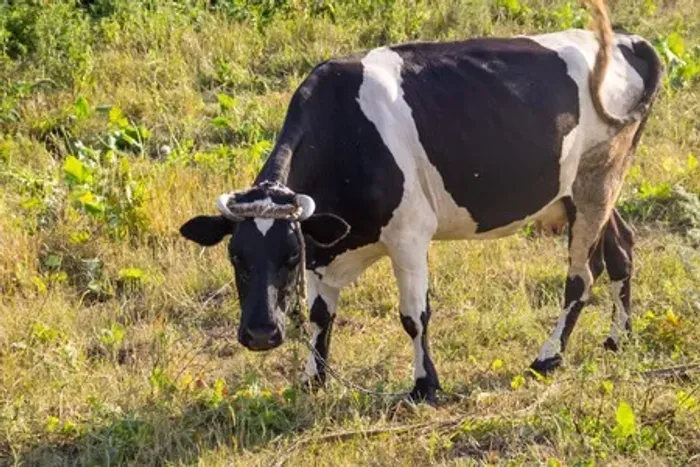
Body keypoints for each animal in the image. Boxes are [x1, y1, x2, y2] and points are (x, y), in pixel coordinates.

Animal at [180, 0, 663, 403]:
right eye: (236, 256)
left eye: (288, 256)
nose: (261, 334)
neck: (347, 132)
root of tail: (627, 41)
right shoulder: (322, 243)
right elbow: (319, 315)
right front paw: (313, 380)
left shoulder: (409, 236)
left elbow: (414, 315)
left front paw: (425, 386)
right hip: (585, 187)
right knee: (621, 248)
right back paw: (619, 337)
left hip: (597, 180)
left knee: (581, 276)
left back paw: (548, 357)